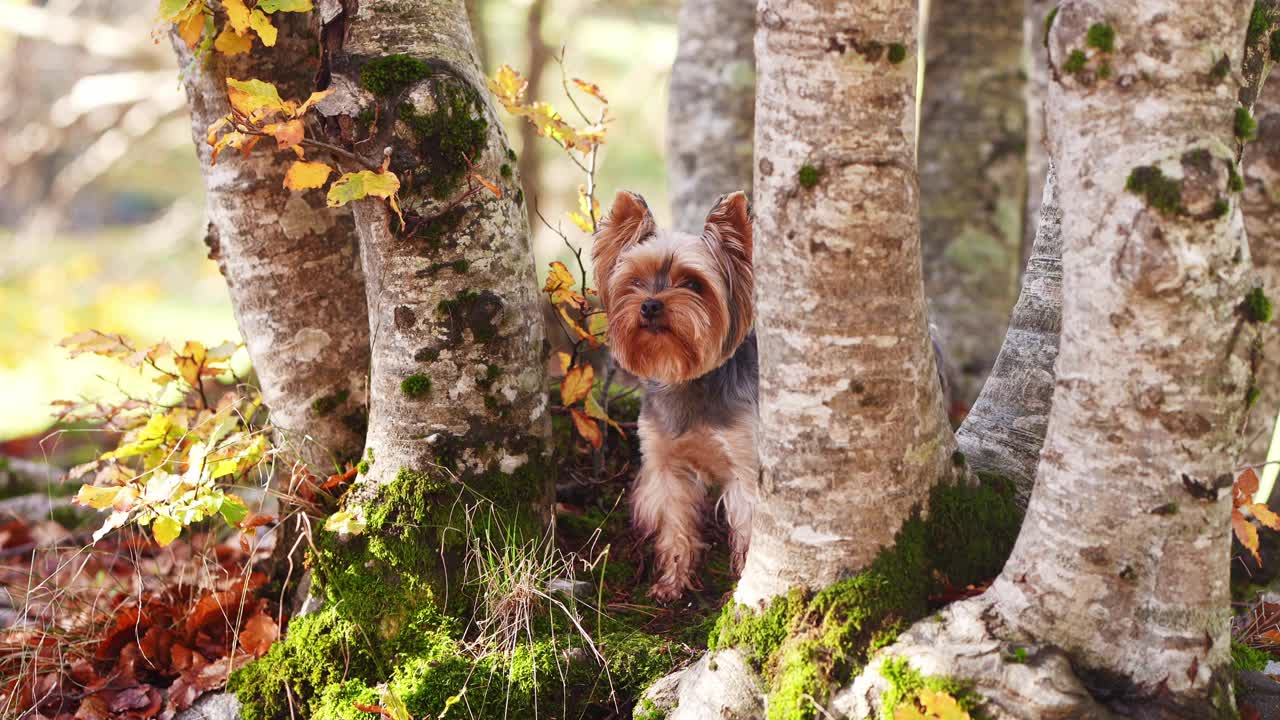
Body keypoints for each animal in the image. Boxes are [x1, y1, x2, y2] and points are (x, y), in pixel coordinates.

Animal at [591, 189, 757, 599]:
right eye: (635, 280)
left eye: (694, 284)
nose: (650, 304)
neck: (684, 377)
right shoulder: (667, 465)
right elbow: (675, 524)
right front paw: (671, 584)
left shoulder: (745, 466)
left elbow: (748, 527)